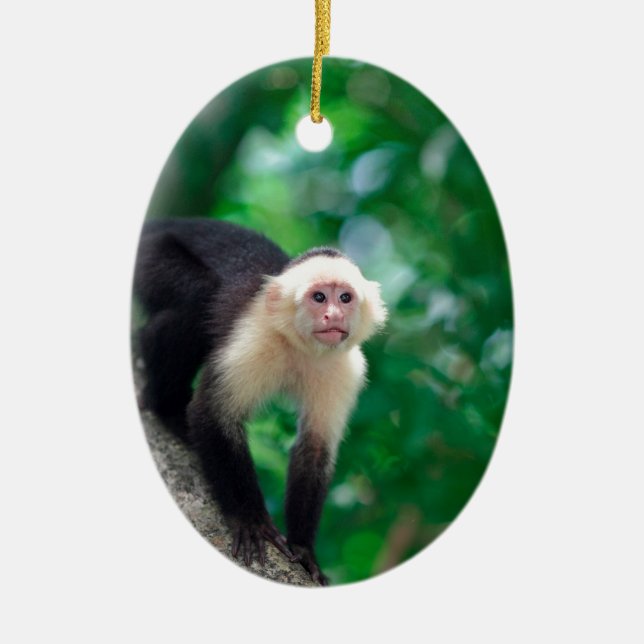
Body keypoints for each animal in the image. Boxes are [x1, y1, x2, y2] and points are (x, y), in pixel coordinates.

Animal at [133, 217, 387, 585]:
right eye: (319, 297)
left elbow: (314, 448)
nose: (333, 316)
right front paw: (250, 518)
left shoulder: (344, 369)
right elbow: (212, 413)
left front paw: (304, 549)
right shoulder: (255, 339)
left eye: (345, 297)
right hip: (151, 254)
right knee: (198, 296)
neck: (299, 346)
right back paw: (164, 405)